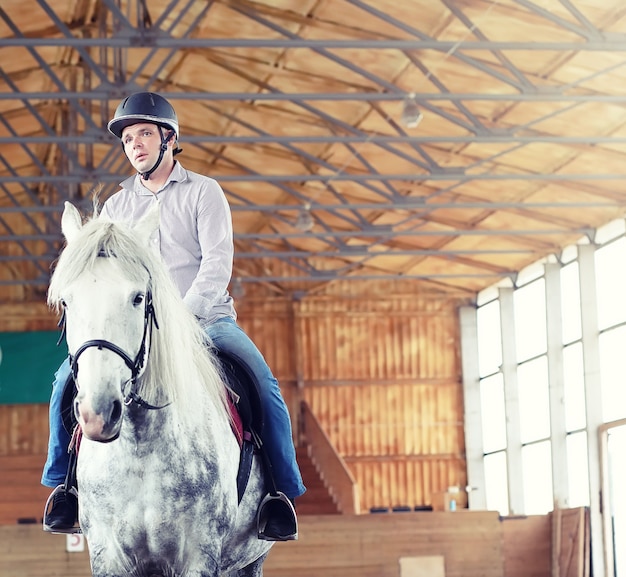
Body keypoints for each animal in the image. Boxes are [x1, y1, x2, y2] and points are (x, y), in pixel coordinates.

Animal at [48, 202, 272, 576]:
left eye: (138, 298)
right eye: (66, 302)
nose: (98, 413)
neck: (140, 448)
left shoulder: (199, 554)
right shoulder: (108, 555)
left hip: (250, 560)